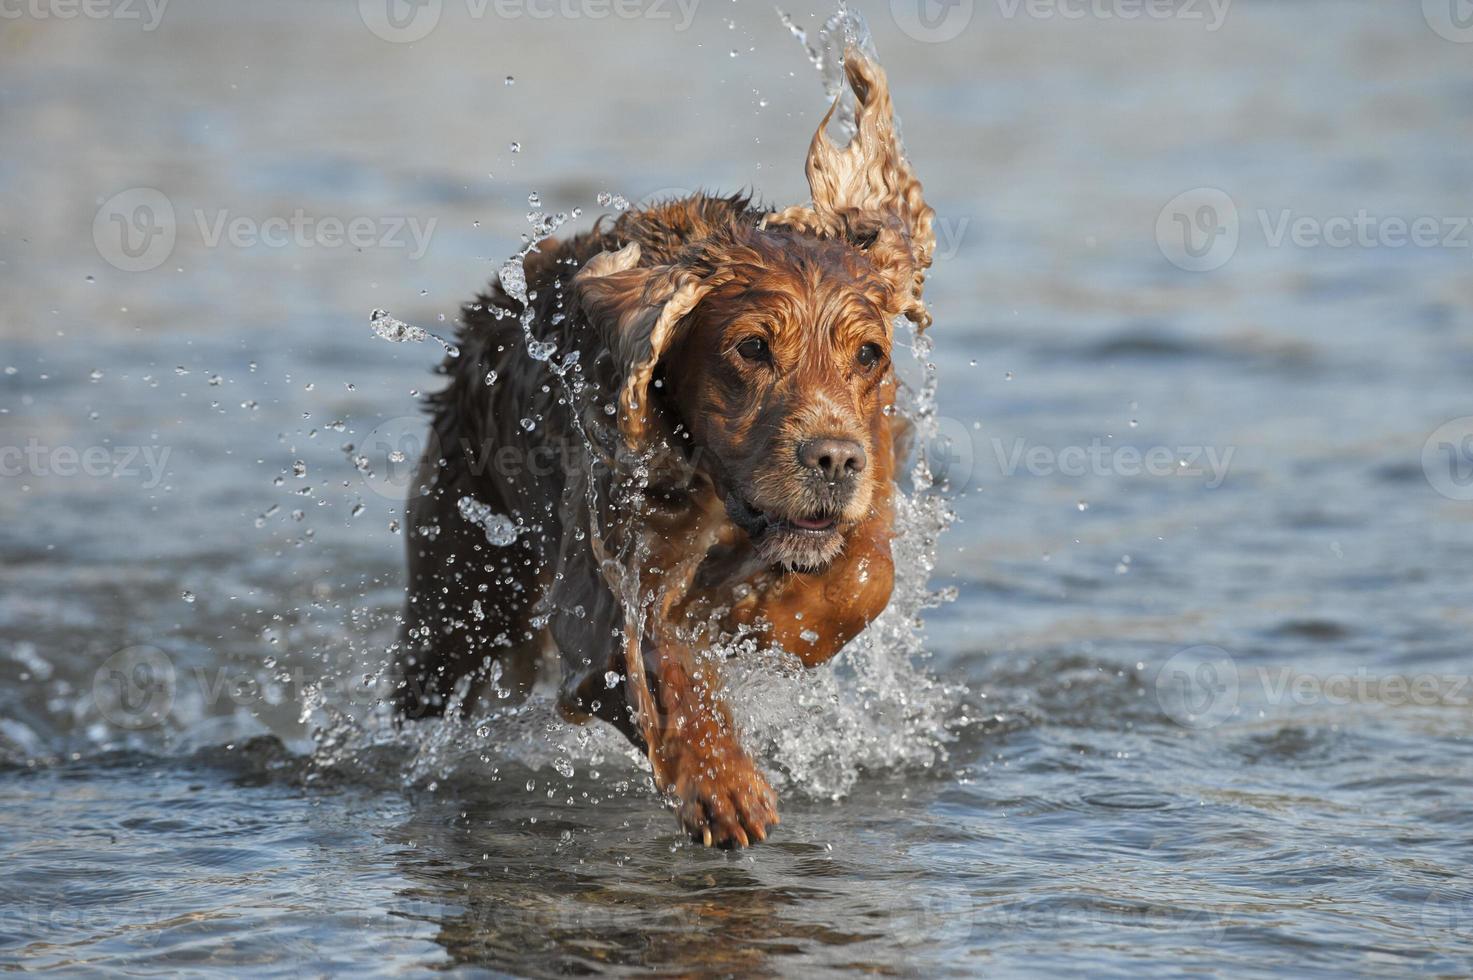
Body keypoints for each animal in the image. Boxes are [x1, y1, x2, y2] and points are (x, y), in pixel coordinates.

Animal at [394, 51, 930, 848]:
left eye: (869, 354)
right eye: (751, 347)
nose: (832, 460)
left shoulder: (872, 477)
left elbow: (866, 575)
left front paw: (769, 626)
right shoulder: (600, 575)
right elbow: (658, 657)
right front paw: (722, 781)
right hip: (462, 575)